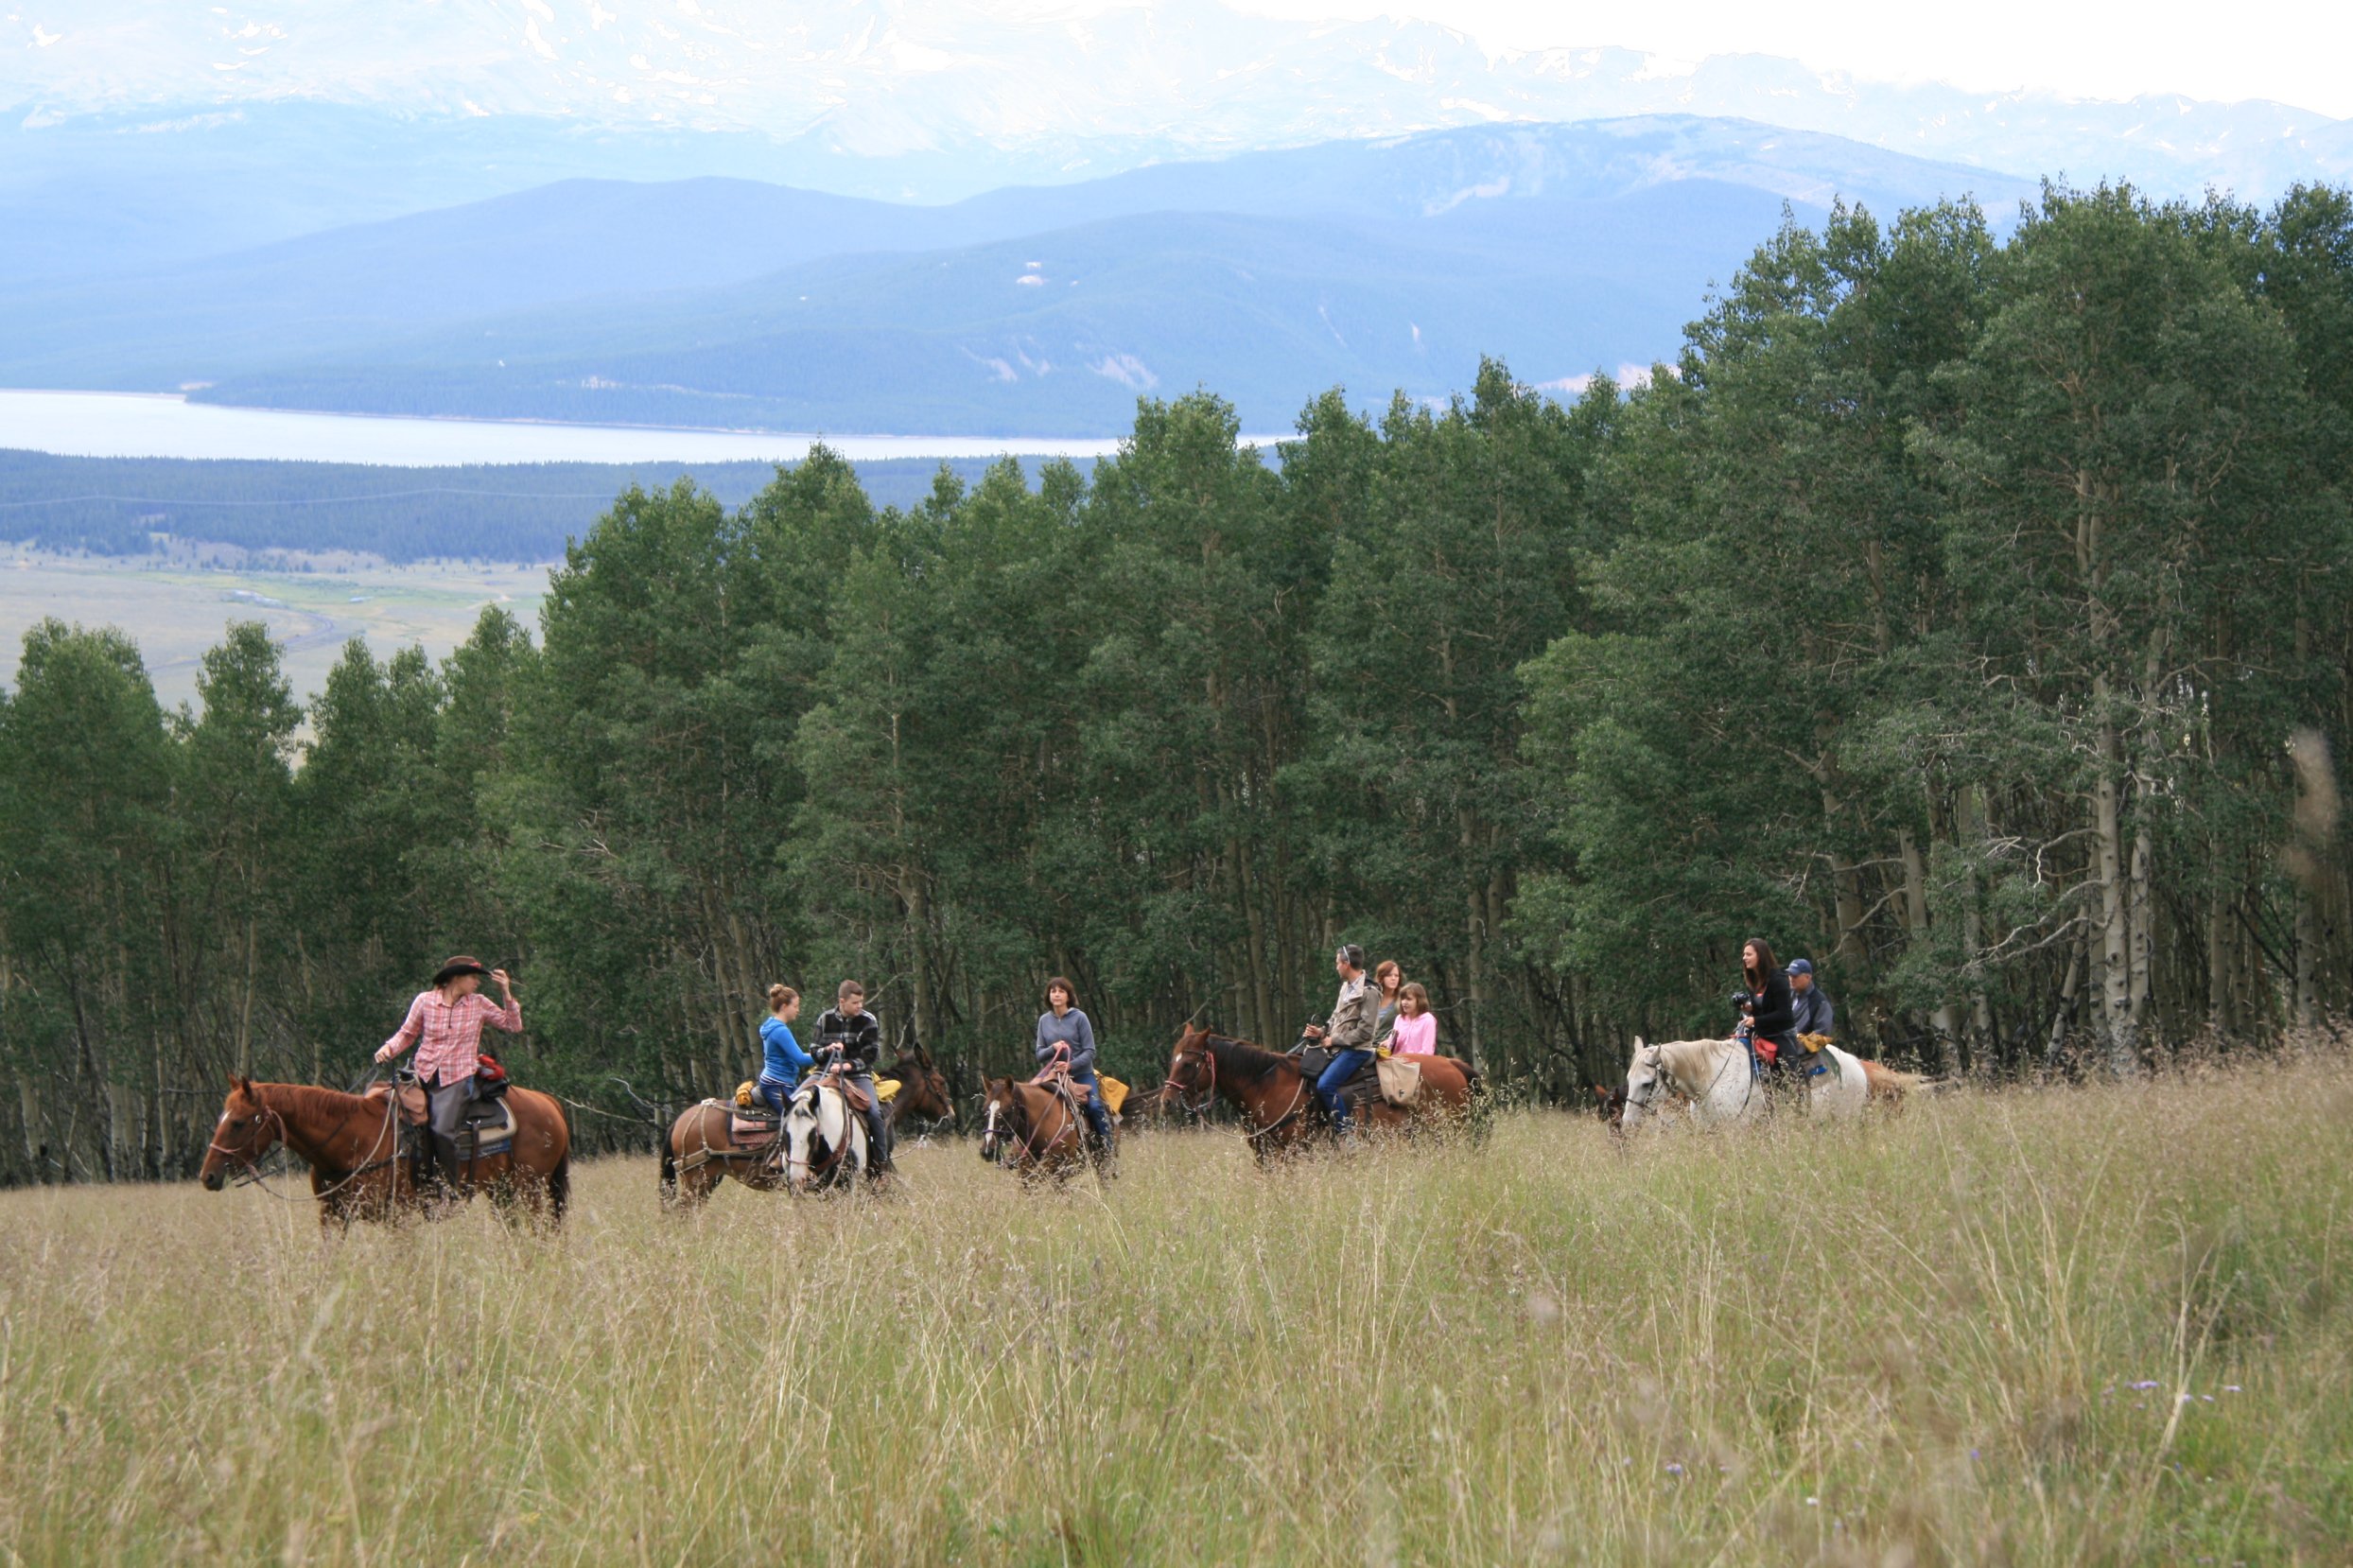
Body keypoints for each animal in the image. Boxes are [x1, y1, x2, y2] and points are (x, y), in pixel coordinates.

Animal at [199, 1073, 574, 1224]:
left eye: (239, 1122)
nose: (208, 1176)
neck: (350, 1141)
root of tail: (548, 1102)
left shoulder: (398, 1218)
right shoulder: (332, 1216)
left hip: (530, 1190)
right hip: (502, 1192)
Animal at [1162, 1021, 1477, 1153]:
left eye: (1188, 1064)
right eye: (1172, 1058)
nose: (1166, 1100)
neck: (1265, 1086)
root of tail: (1453, 1063)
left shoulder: (1290, 1153)